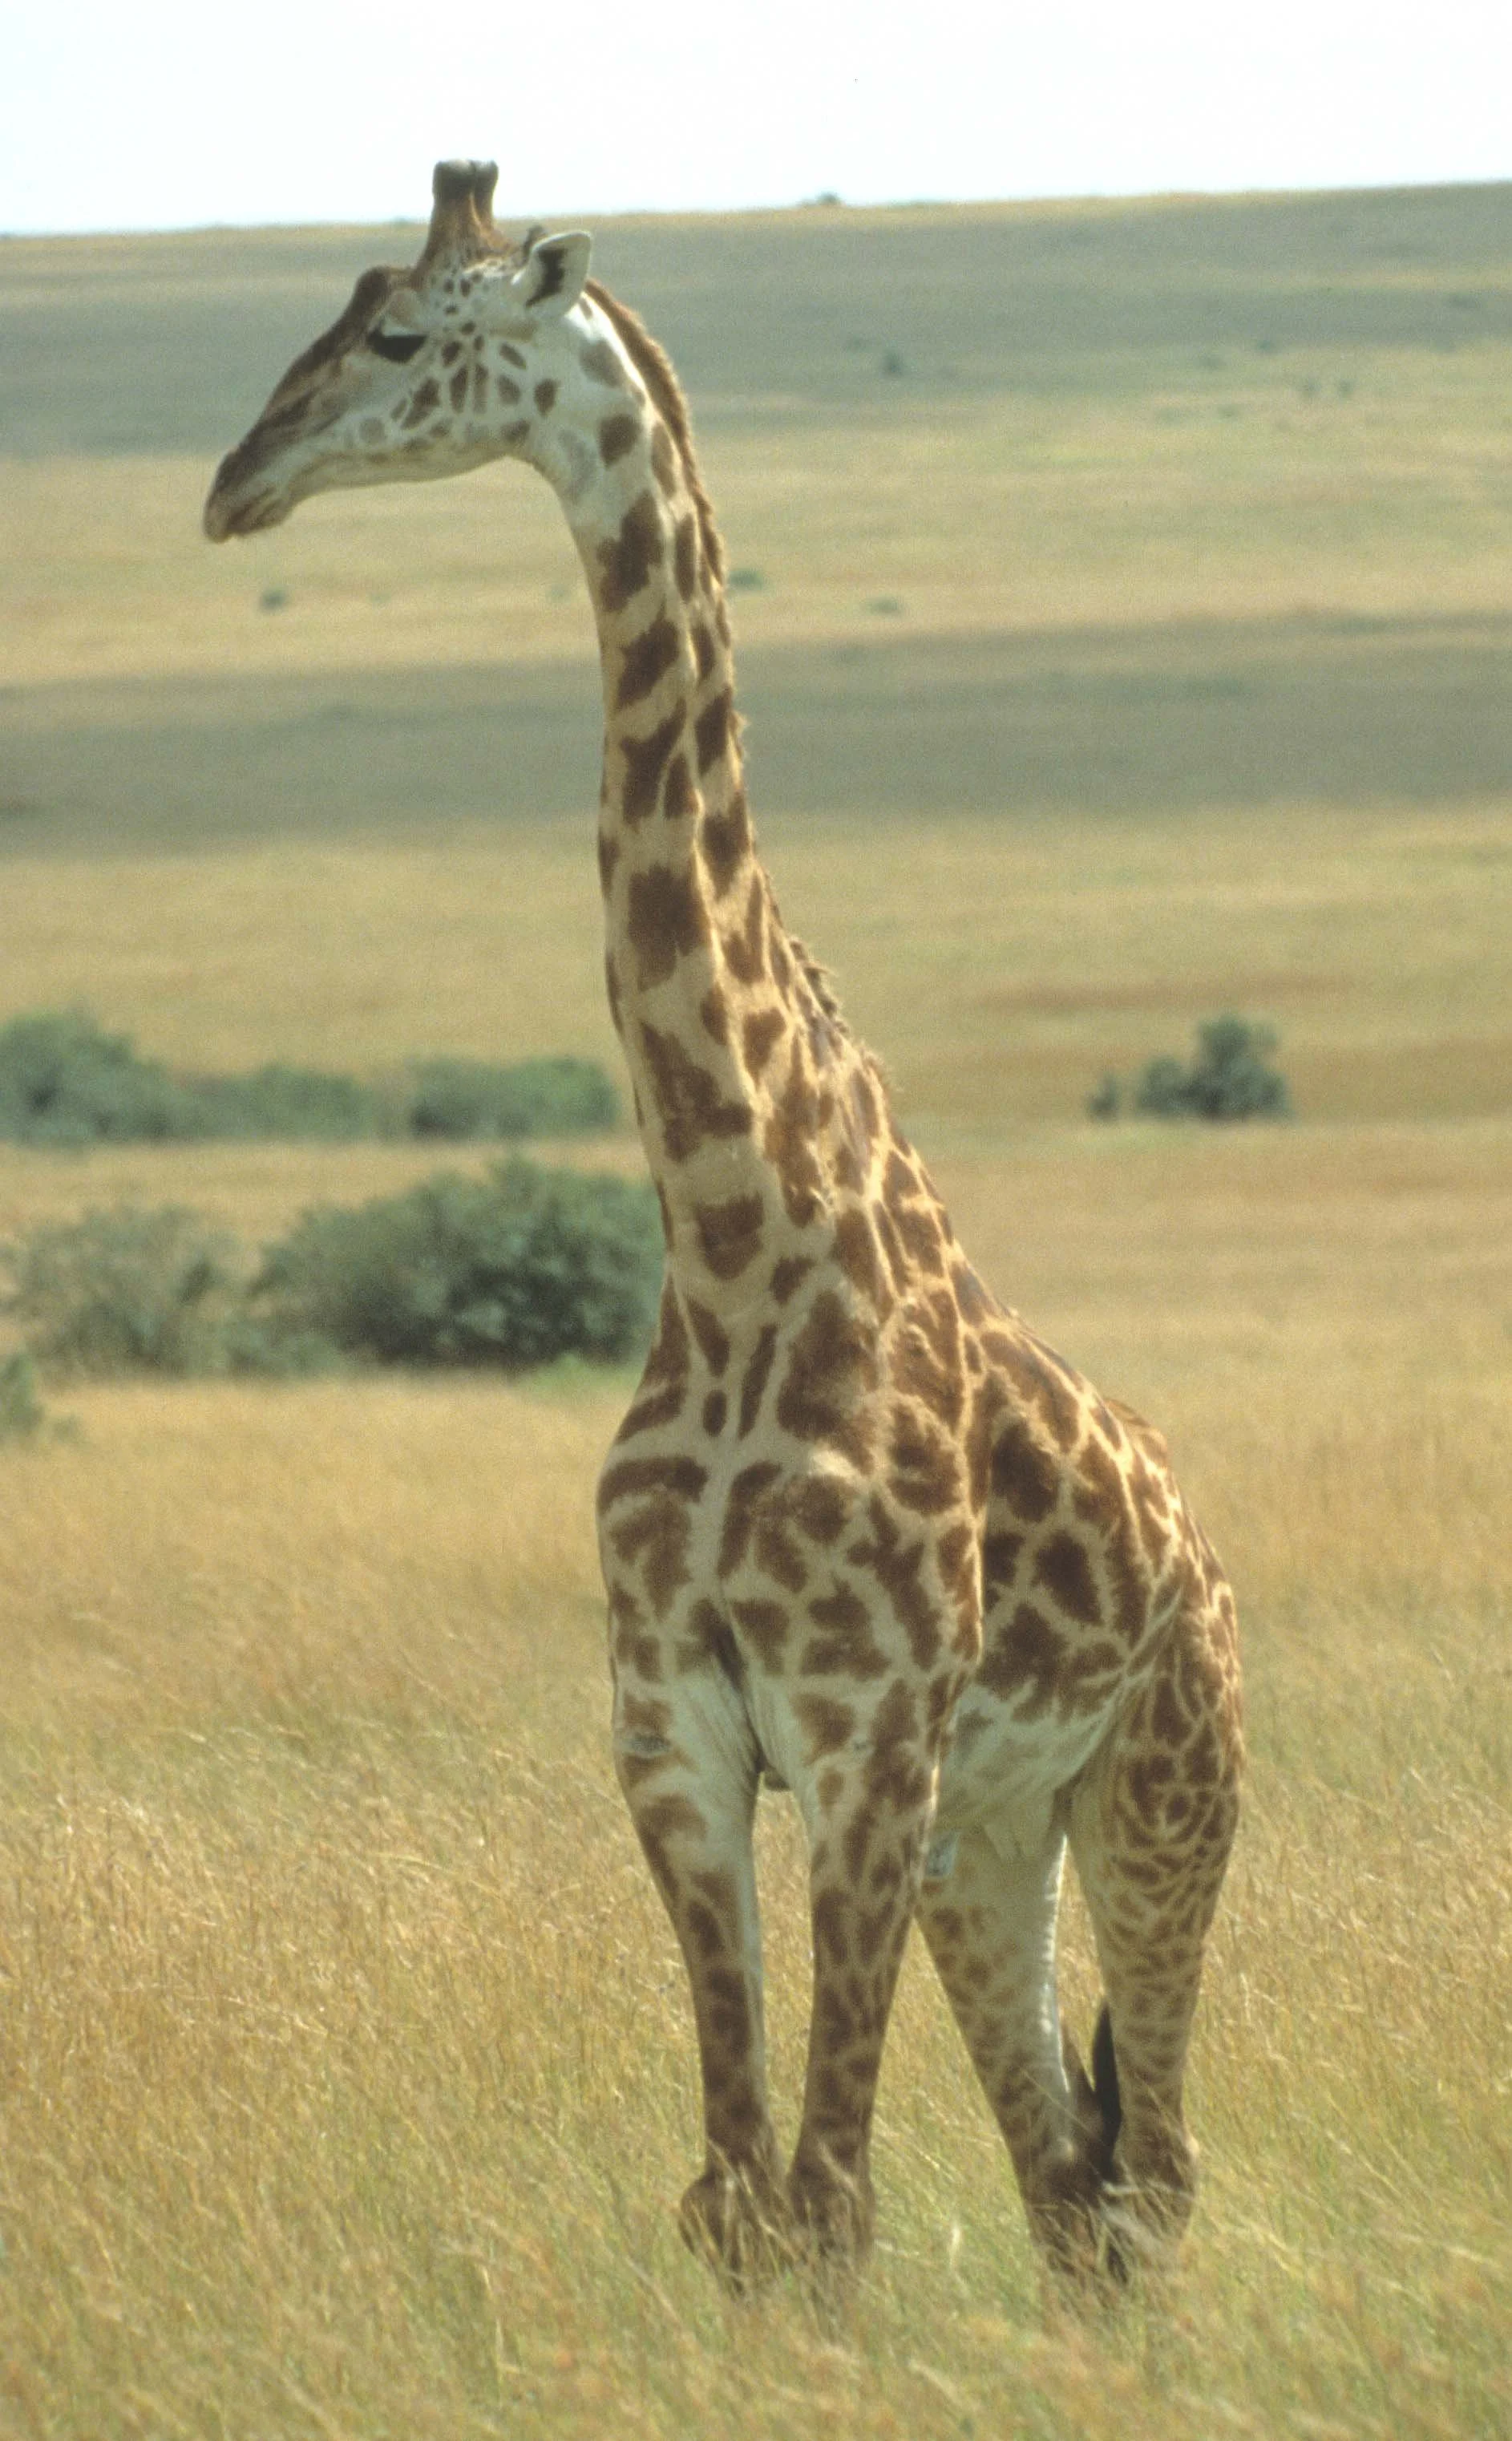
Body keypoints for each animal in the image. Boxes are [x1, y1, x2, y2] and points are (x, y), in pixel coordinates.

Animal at [204, 161, 1243, 2293]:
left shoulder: (858, 1734)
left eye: (406, 333)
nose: (233, 481)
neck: (736, 1230)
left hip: (1164, 1792)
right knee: (1071, 2187)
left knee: (1160, 2173)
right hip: (992, 1841)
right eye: (332, 306)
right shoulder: (674, 1725)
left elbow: (829, 2197)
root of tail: (1210, 1561)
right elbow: (740, 2196)